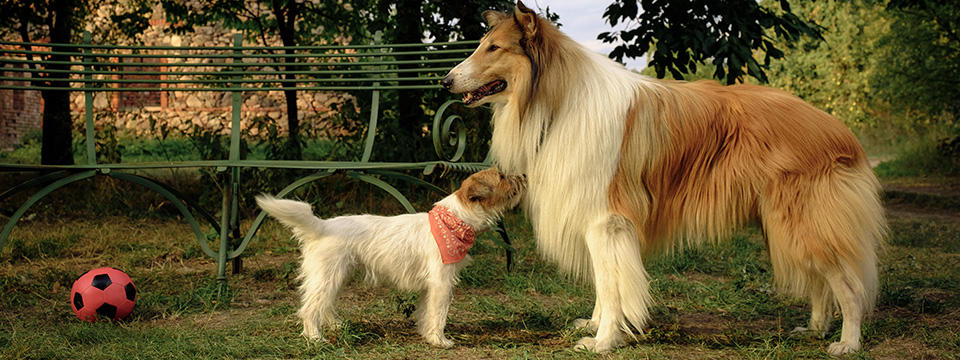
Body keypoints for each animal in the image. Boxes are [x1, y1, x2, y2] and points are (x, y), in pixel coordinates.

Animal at [255, 169, 524, 348]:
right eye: (501, 177)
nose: (522, 176)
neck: (454, 220)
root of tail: (322, 225)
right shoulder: (442, 283)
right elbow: (439, 314)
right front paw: (440, 340)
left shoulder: (430, 286)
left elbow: (426, 311)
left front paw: (426, 335)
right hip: (328, 277)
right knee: (310, 308)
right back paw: (315, 338)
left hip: (334, 277)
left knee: (323, 305)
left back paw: (336, 326)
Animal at [442, 0, 884, 354]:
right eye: (483, 44)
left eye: (493, 48)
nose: (445, 81)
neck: (559, 100)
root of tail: (838, 128)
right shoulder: (596, 219)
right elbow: (603, 281)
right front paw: (596, 324)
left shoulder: (606, 220)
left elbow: (611, 285)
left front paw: (603, 341)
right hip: (784, 224)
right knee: (821, 282)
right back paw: (814, 329)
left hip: (801, 222)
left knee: (849, 286)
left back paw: (847, 343)